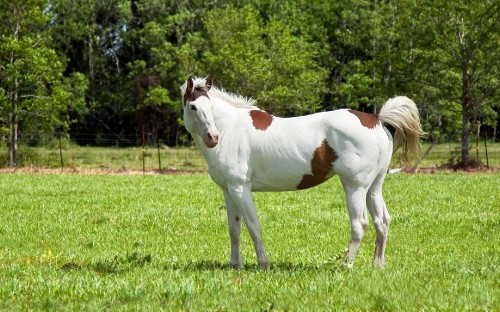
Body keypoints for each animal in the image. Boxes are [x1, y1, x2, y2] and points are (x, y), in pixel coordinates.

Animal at [180, 76, 422, 270]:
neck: (231, 129)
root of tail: (377, 120)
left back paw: (345, 265)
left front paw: (263, 264)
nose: (212, 137)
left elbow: (253, 225)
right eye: (193, 106)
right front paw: (235, 265)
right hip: (374, 187)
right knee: (382, 221)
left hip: (355, 187)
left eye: (209, 107)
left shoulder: (240, 188)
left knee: (359, 224)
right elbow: (234, 229)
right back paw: (377, 264)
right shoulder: (228, 190)